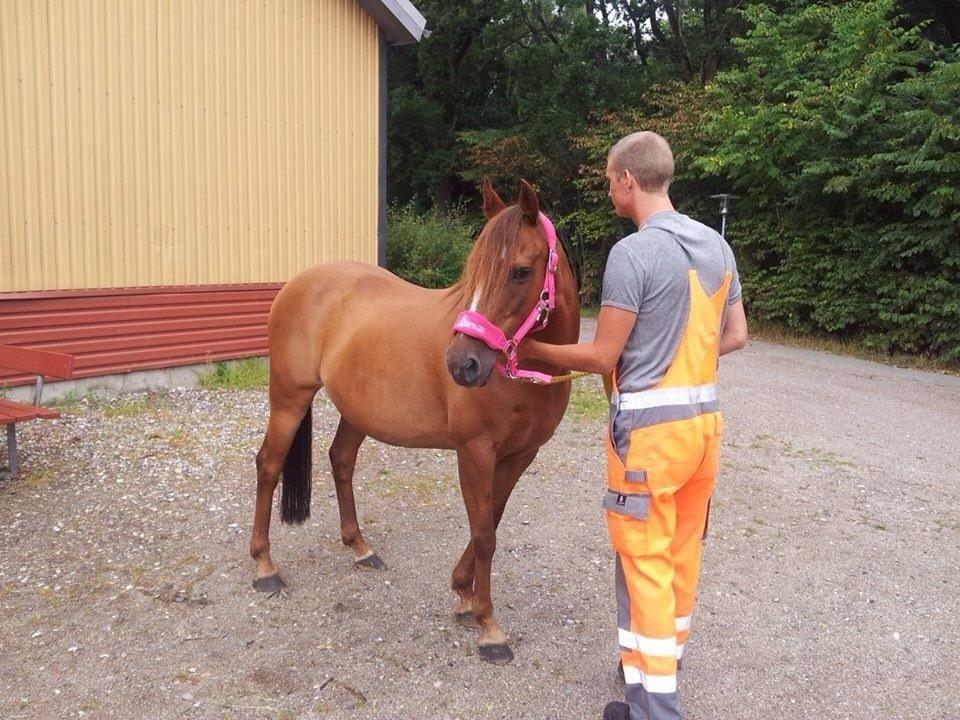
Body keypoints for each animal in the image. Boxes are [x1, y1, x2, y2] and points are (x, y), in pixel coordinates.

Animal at [248, 179, 580, 664]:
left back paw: (360, 548)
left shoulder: (521, 455)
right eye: (472, 270)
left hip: (358, 410)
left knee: (340, 460)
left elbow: (493, 521)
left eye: (521, 271)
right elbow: (484, 533)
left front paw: (464, 594)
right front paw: (488, 626)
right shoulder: (474, 452)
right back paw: (265, 567)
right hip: (290, 398)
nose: (462, 364)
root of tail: (298, 283)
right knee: (269, 466)